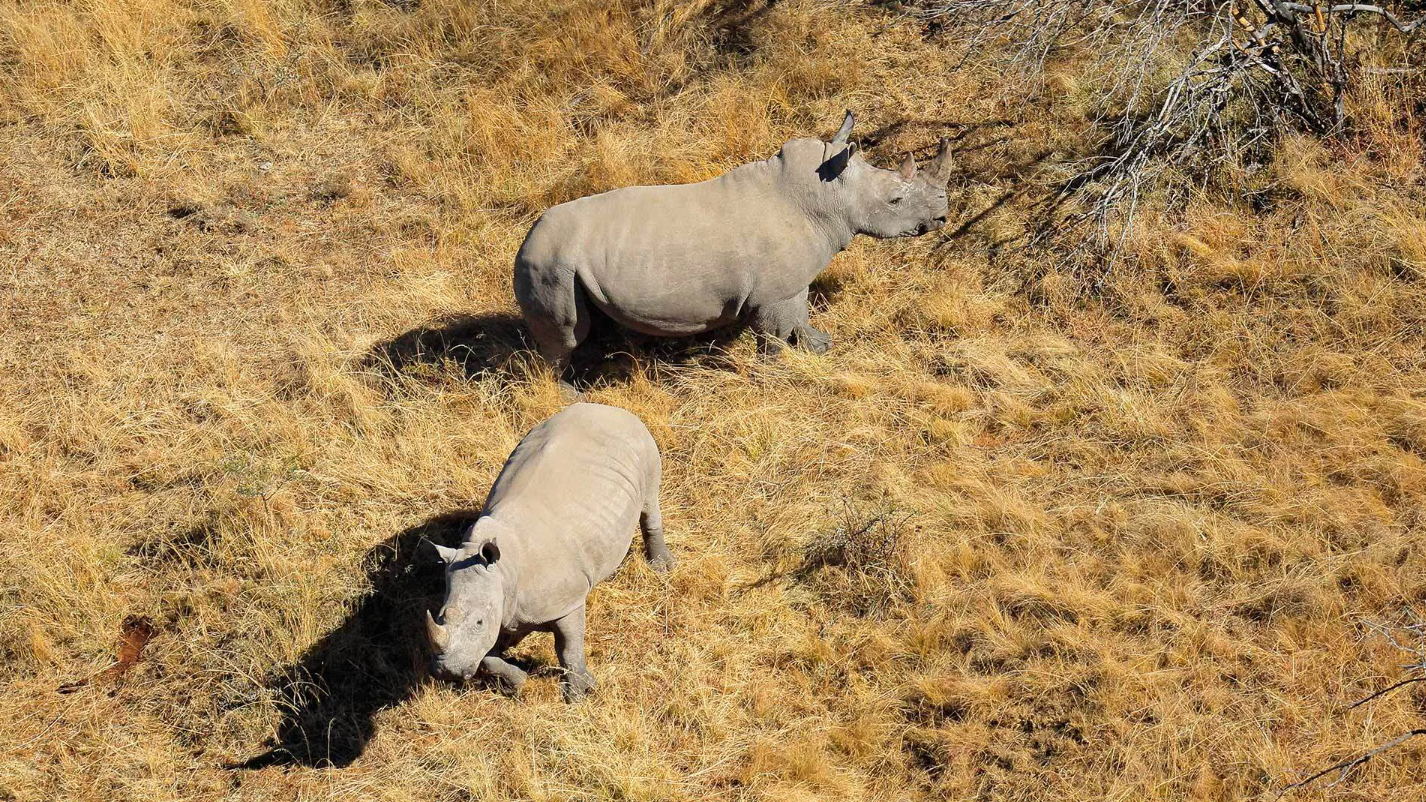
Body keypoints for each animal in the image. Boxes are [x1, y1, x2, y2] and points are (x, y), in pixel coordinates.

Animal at [424, 402, 671, 701]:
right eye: (440, 615)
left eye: (479, 622)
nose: (447, 671)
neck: (503, 571)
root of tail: (611, 408)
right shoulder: (501, 602)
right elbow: (487, 655)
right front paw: (518, 682)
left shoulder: (567, 601)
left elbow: (568, 648)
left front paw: (578, 695)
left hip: (642, 445)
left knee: (649, 500)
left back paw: (661, 569)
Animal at [514, 111, 954, 378]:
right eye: (894, 201)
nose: (943, 215)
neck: (828, 195)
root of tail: (525, 239)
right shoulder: (777, 291)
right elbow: (776, 334)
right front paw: (777, 374)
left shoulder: (791, 285)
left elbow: (800, 317)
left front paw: (820, 347)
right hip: (548, 263)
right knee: (566, 336)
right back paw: (565, 391)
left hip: (559, 260)